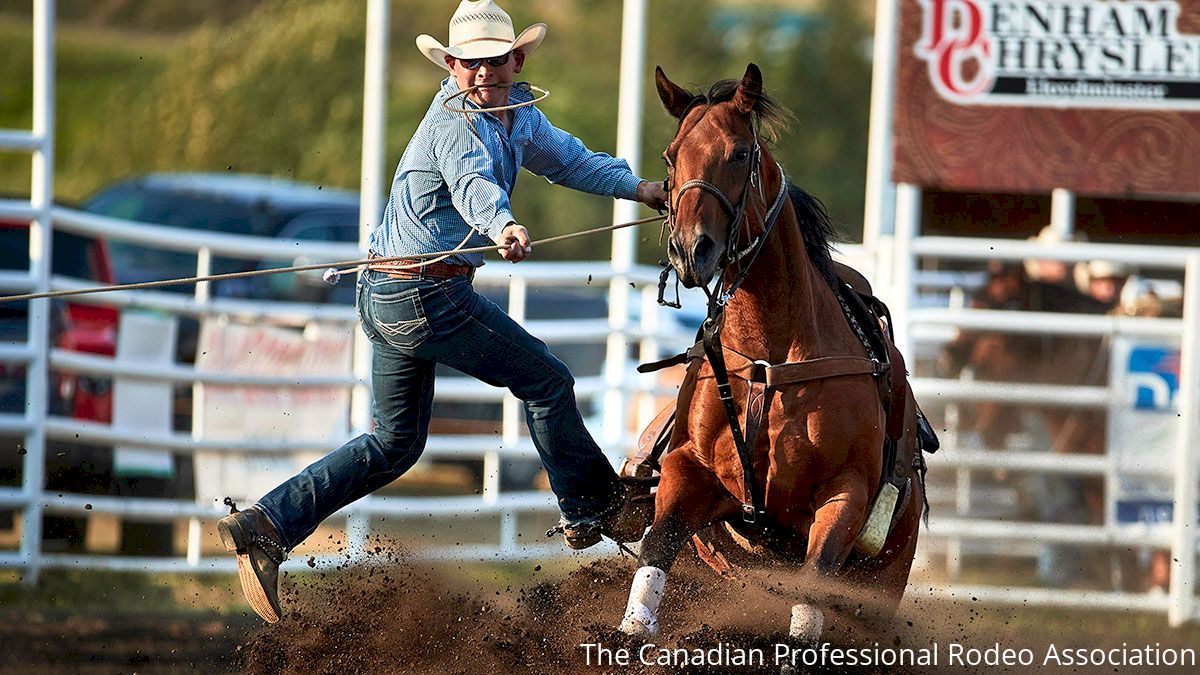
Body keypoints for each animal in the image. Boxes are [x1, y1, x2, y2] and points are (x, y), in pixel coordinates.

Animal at [619, 65, 926, 638]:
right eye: (671, 156)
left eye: (740, 153)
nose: (690, 250)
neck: (770, 358)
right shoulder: (688, 473)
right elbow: (655, 553)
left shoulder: (844, 495)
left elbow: (812, 590)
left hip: (884, 585)